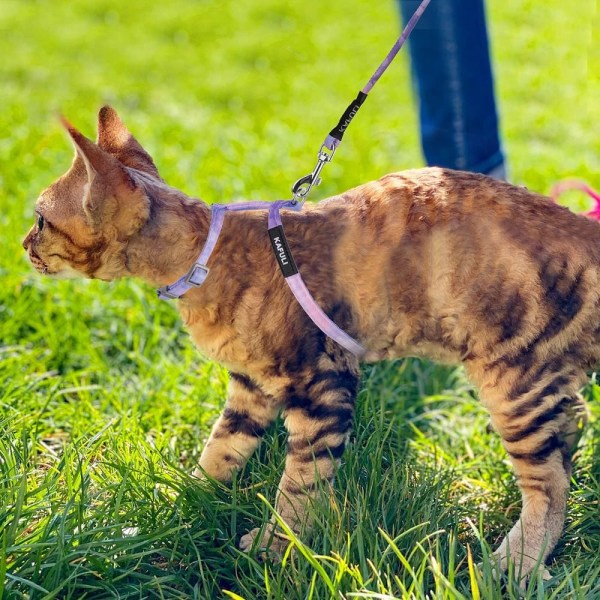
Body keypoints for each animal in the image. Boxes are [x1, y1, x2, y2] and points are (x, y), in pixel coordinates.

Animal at [22, 106, 592, 576]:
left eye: (41, 219)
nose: (24, 244)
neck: (205, 255)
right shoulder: (251, 387)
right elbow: (221, 448)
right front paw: (186, 498)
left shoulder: (324, 385)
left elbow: (301, 483)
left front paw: (276, 545)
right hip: (544, 381)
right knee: (571, 432)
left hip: (512, 381)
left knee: (550, 484)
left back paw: (515, 565)